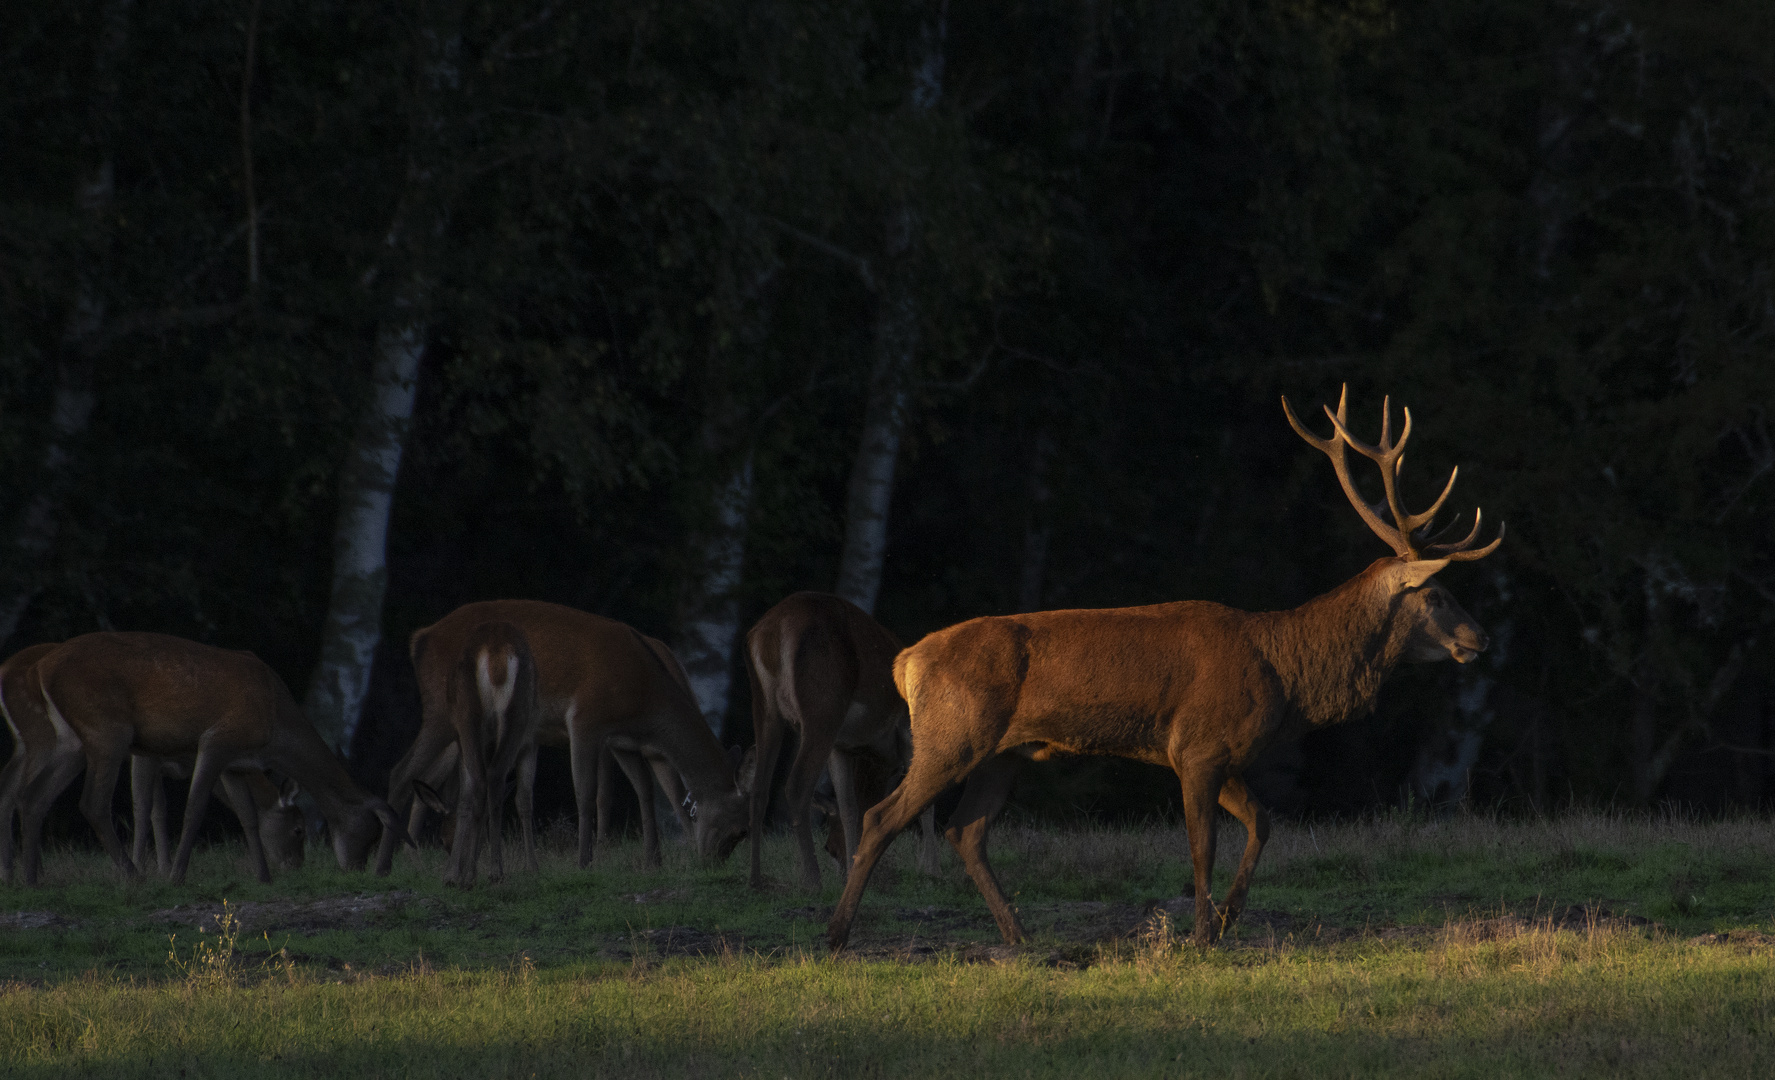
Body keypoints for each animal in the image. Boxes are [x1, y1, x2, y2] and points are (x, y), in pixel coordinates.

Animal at [749, 593, 944, 891]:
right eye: (829, 850)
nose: (839, 859)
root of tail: (771, 632)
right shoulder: (907, 727)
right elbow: (922, 798)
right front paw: (932, 870)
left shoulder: (840, 746)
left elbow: (849, 805)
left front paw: (856, 872)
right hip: (822, 705)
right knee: (795, 785)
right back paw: (813, 882)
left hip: (766, 706)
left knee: (759, 788)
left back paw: (755, 880)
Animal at [823, 390, 1505, 952]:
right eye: (1437, 595)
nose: (1482, 638)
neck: (1288, 674)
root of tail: (907, 661)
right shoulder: (1198, 746)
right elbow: (1202, 846)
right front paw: (1201, 934)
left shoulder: (1221, 754)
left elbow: (1263, 823)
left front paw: (1227, 920)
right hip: (952, 735)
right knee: (882, 818)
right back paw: (836, 933)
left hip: (1006, 752)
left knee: (966, 831)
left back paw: (1018, 934)